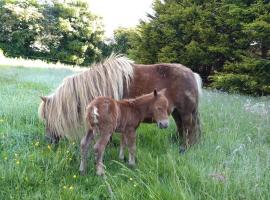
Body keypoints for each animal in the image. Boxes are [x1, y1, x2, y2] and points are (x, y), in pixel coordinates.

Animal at [38, 54, 202, 151]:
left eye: (47, 118)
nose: (48, 141)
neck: (98, 84)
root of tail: (192, 74)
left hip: (186, 112)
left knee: (189, 128)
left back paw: (185, 148)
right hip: (176, 112)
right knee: (181, 127)